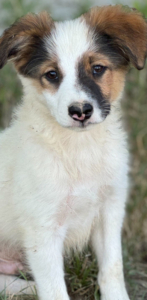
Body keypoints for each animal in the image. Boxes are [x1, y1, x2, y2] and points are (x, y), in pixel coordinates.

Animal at [0, 4, 147, 300]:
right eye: (52, 75)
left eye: (98, 68)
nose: (80, 111)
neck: (78, 149)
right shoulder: (42, 230)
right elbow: (55, 291)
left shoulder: (109, 211)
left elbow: (112, 270)